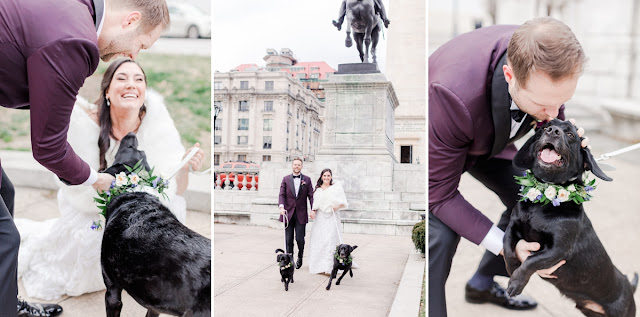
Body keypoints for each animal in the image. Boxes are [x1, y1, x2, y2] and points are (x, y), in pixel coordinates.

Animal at [504, 119, 636, 316]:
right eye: (545, 127)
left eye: (571, 134)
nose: (552, 131)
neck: (542, 203)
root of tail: (628, 284)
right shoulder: (513, 227)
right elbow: (507, 247)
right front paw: (512, 268)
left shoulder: (558, 249)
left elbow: (530, 261)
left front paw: (516, 283)